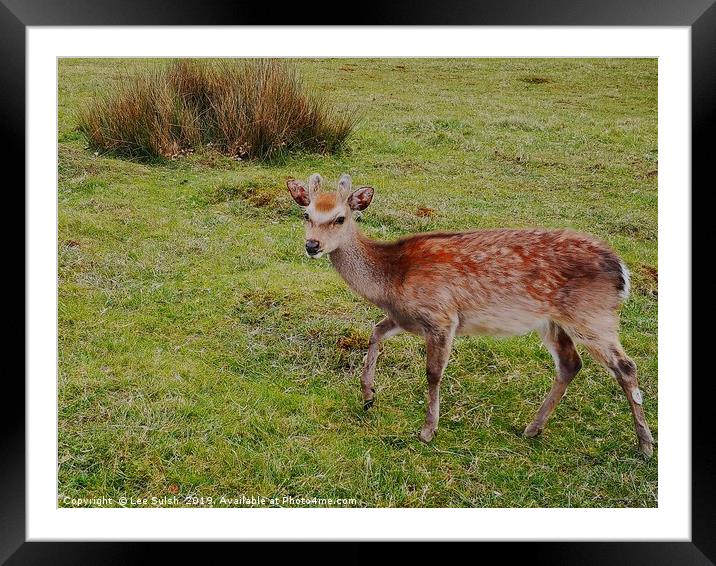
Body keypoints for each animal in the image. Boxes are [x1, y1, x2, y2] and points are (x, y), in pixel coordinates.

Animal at [286, 175, 656, 460]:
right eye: (305, 213)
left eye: (340, 218)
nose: (312, 245)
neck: (392, 279)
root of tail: (622, 272)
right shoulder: (406, 317)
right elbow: (374, 331)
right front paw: (368, 395)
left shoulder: (441, 316)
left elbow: (433, 373)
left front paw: (427, 430)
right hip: (553, 322)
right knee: (570, 364)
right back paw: (533, 428)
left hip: (592, 315)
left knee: (625, 367)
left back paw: (644, 445)